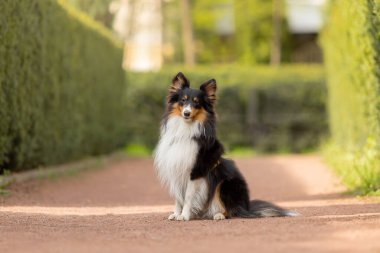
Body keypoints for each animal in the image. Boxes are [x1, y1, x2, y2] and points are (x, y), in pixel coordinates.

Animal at [154, 72, 296, 220]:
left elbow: (187, 197)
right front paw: (176, 214)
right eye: (183, 100)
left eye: (196, 102)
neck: (185, 131)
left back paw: (219, 215)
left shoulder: (196, 171)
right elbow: (178, 198)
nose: (186, 113)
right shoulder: (175, 170)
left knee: (231, 211)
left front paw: (184, 216)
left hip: (225, 184)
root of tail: (247, 207)